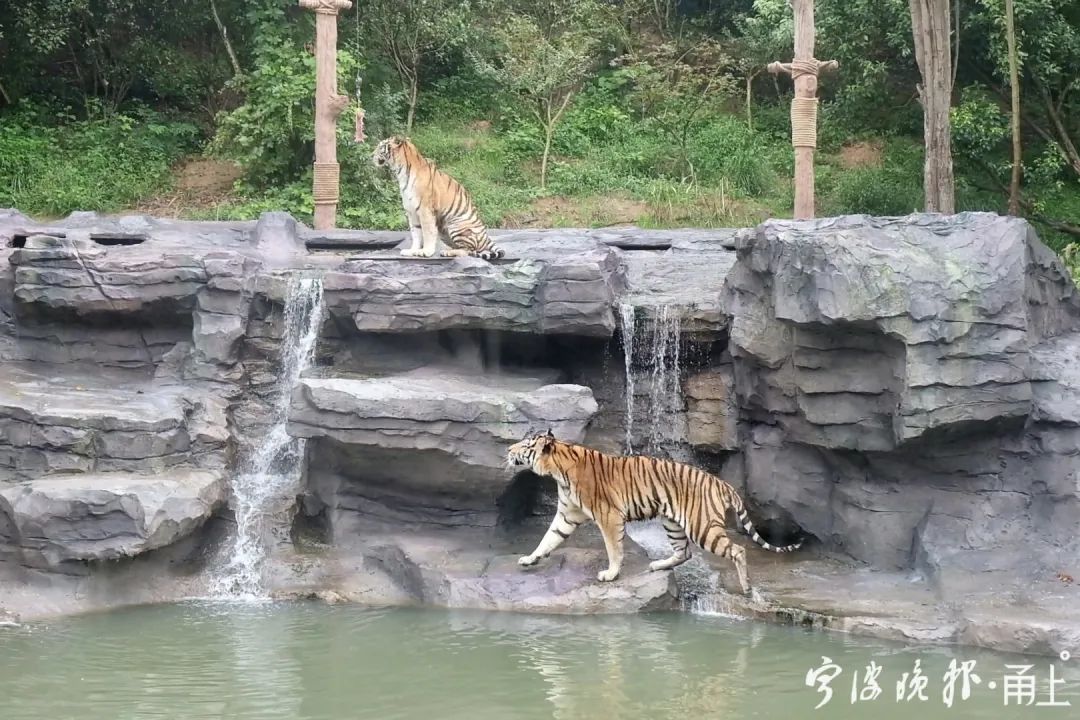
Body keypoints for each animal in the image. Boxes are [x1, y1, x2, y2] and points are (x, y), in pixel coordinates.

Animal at [371, 136, 505, 260]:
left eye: (380, 147)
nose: (371, 155)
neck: (400, 171)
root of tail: (486, 237)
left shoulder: (425, 210)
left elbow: (427, 232)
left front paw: (426, 252)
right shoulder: (411, 212)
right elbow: (416, 233)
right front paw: (412, 251)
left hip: (456, 226)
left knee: (469, 251)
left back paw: (447, 252)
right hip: (444, 231)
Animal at [505, 431, 803, 595]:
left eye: (525, 445)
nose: (508, 449)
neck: (558, 470)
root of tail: (721, 482)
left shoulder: (609, 516)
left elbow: (614, 548)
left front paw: (610, 574)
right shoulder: (567, 515)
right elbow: (548, 539)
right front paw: (530, 559)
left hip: (701, 526)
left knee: (737, 550)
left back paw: (747, 587)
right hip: (672, 522)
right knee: (684, 553)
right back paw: (657, 565)